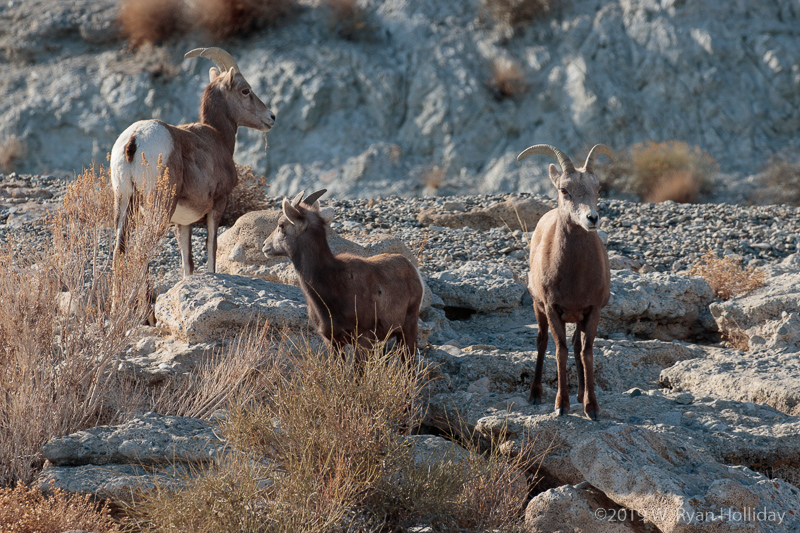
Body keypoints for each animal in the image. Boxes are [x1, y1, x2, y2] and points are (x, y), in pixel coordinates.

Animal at [110, 48, 276, 278]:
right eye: (245, 90)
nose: (271, 117)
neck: (218, 137)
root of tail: (135, 138)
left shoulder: (183, 223)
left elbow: (187, 263)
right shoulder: (218, 203)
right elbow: (211, 246)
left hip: (124, 202)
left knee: (119, 251)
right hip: (159, 208)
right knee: (143, 251)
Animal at [262, 189, 424, 368]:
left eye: (281, 225)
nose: (265, 246)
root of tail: (414, 271)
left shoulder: (363, 338)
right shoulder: (332, 340)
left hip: (408, 328)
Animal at [520, 143, 612, 418]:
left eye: (598, 190)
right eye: (564, 190)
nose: (592, 219)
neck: (575, 277)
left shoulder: (592, 311)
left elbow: (586, 352)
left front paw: (591, 408)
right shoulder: (552, 309)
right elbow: (560, 351)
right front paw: (561, 406)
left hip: (578, 318)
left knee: (576, 345)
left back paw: (581, 394)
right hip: (538, 308)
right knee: (542, 342)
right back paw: (535, 395)